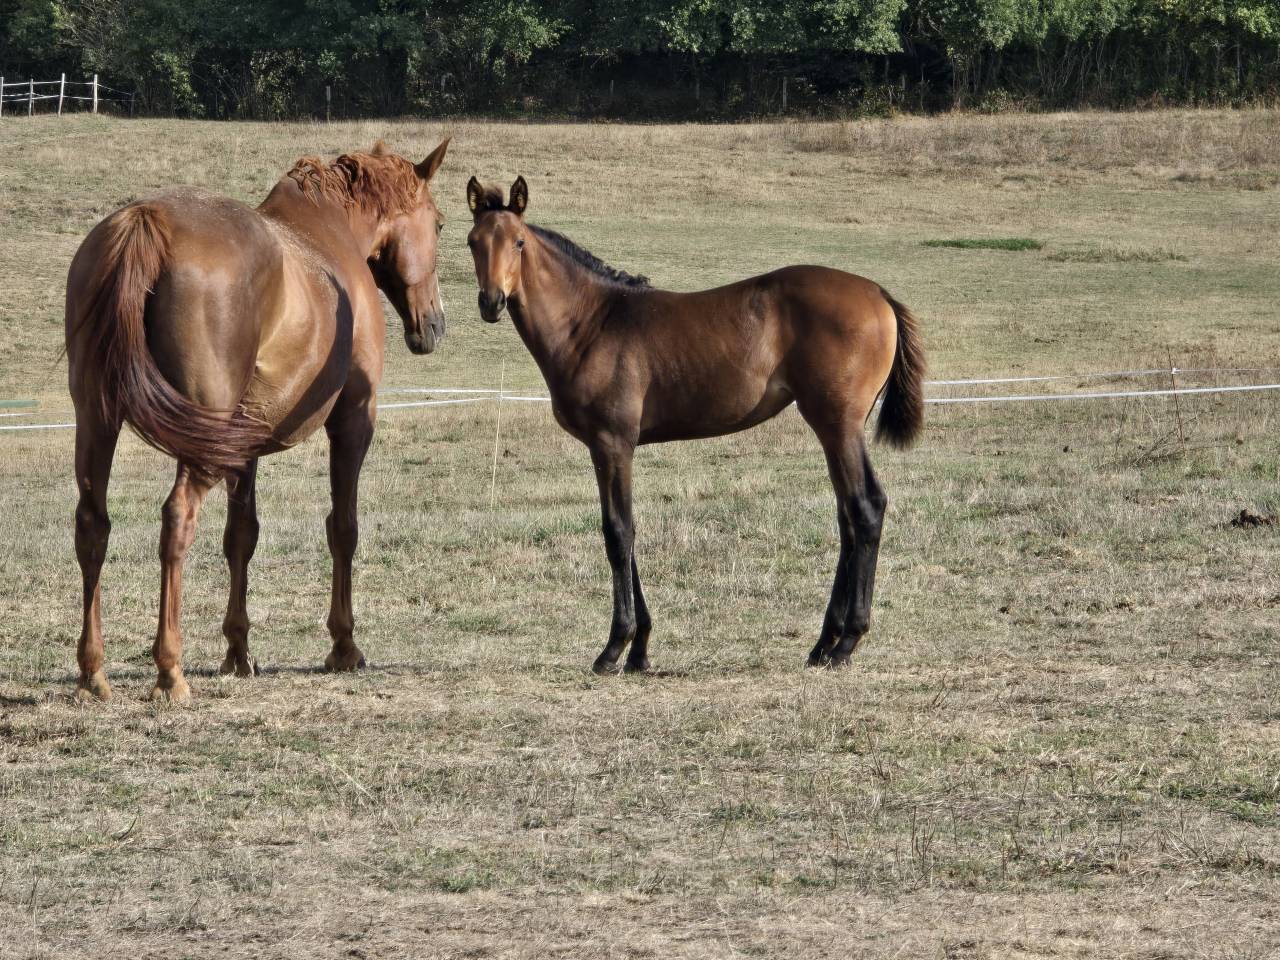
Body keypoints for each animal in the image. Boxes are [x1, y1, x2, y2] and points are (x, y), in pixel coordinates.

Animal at [64, 138, 451, 703]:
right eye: (440, 224)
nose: (435, 325)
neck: (329, 234)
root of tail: (146, 220)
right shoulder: (353, 421)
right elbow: (343, 526)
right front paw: (343, 646)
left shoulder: (242, 444)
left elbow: (241, 536)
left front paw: (238, 652)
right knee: (176, 520)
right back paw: (170, 671)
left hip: (98, 422)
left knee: (93, 524)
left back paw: (93, 673)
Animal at [465, 175, 925, 674]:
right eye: (473, 241)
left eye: (519, 242)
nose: (491, 302)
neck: (590, 324)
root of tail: (878, 293)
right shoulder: (613, 448)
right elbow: (627, 533)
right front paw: (640, 651)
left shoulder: (611, 444)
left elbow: (618, 532)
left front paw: (615, 647)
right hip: (832, 428)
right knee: (847, 517)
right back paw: (823, 643)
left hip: (839, 425)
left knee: (866, 507)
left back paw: (847, 641)